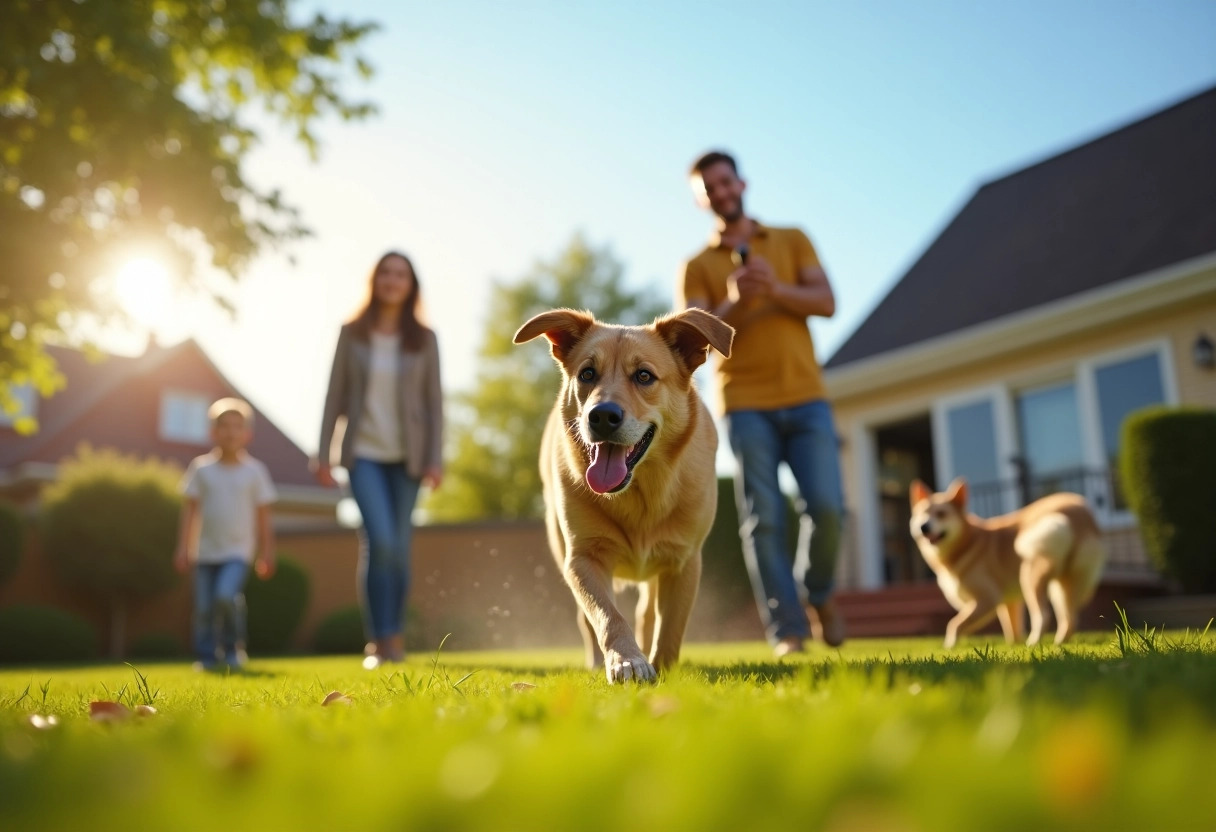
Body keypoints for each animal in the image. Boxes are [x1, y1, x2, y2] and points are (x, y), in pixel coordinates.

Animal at [513, 305, 729, 681]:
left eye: (644, 376)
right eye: (587, 373)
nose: (601, 416)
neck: (639, 493)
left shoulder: (683, 561)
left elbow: (671, 626)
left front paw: (663, 667)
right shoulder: (584, 558)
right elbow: (607, 615)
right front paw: (627, 660)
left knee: (647, 613)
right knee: (588, 618)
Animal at [909, 476, 1108, 647]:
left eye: (941, 514)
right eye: (922, 514)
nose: (924, 527)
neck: (967, 542)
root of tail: (1083, 514)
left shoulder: (989, 598)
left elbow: (955, 623)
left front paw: (949, 645)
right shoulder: (1009, 601)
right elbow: (1011, 629)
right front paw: (1013, 647)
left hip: (1031, 575)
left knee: (1043, 615)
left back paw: (1033, 643)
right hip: (1064, 585)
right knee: (1070, 618)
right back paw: (1058, 643)